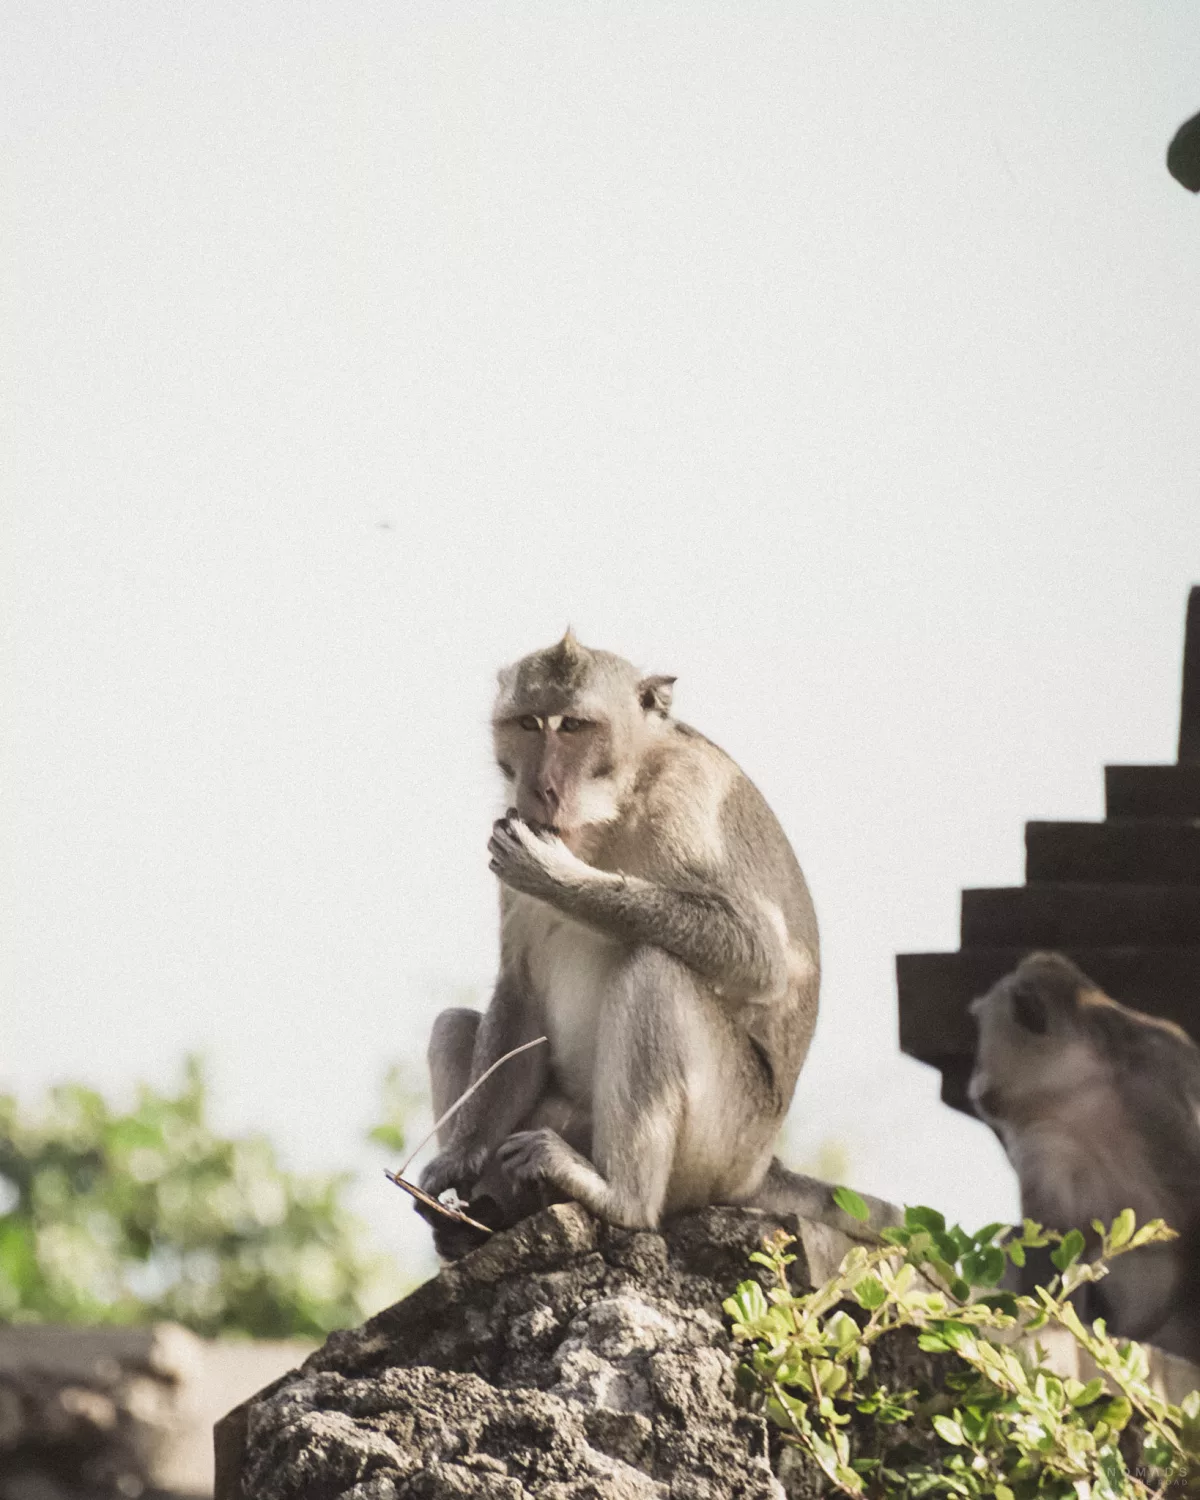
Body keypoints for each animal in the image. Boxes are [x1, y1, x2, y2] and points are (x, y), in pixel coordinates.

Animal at [417, 631, 821, 1259]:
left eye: (576, 726)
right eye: (528, 723)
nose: (541, 788)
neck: (618, 800)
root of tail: (761, 1169)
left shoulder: (686, 804)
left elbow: (758, 954)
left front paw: (555, 875)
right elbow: (519, 988)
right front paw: (461, 1155)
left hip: (724, 1148)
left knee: (656, 969)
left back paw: (617, 1198)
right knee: (454, 1024)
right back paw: (486, 1217)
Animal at [969, 951, 1200, 1362]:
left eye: (983, 1040)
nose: (975, 1074)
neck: (1080, 1087)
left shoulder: (1163, 1092)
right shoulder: (1040, 1138)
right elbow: (1051, 1233)